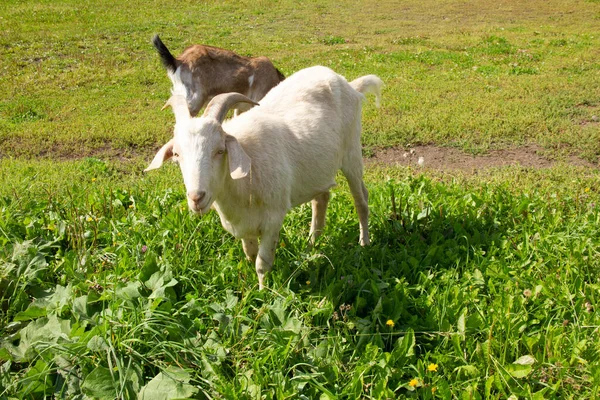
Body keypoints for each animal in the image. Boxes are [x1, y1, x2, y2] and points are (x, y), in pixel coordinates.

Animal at [147, 66, 384, 290]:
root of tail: (349, 84)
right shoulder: (243, 225)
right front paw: (252, 288)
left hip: (352, 152)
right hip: (318, 168)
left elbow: (262, 263)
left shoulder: (273, 219)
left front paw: (263, 293)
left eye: (220, 150)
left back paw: (364, 243)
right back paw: (311, 245)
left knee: (361, 200)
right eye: (177, 154)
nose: (197, 197)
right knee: (321, 199)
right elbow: (250, 255)